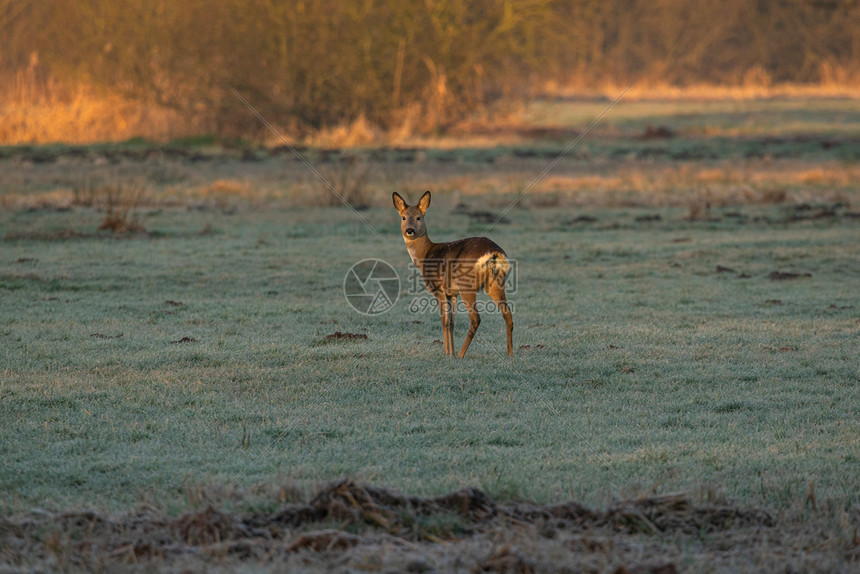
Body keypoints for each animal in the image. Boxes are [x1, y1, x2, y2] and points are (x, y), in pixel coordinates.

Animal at [394, 191, 512, 358]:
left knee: (475, 318)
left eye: (419, 217)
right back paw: (510, 354)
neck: (425, 254)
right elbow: (452, 323)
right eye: (403, 217)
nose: (409, 230)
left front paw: (447, 354)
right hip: (495, 283)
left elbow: (444, 321)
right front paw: (451, 352)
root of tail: (494, 252)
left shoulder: (438, 290)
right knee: (508, 314)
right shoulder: (452, 293)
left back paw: (462, 355)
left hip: (467, 286)